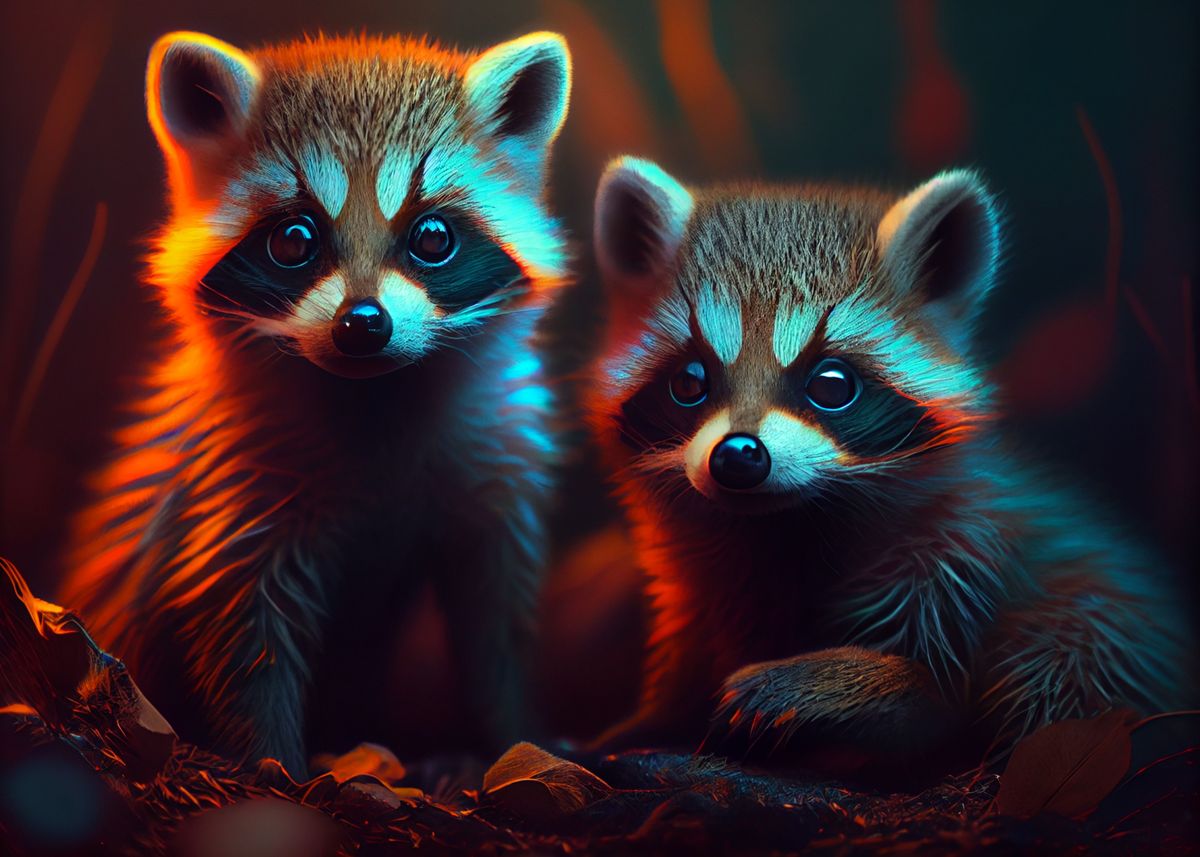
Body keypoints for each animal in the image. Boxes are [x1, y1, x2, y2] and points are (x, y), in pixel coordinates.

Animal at [58, 30, 572, 775]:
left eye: (433, 238)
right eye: (294, 239)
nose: (363, 324)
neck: (374, 395)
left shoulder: (498, 472)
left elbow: (496, 627)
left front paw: (513, 731)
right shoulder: (230, 493)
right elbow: (244, 640)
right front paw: (272, 763)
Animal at [584, 157, 1192, 758]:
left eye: (831, 384)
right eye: (689, 381)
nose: (738, 456)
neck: (785, 523)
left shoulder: (969, 554)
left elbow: (938, 699)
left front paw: (837, 682)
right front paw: (652, 719)